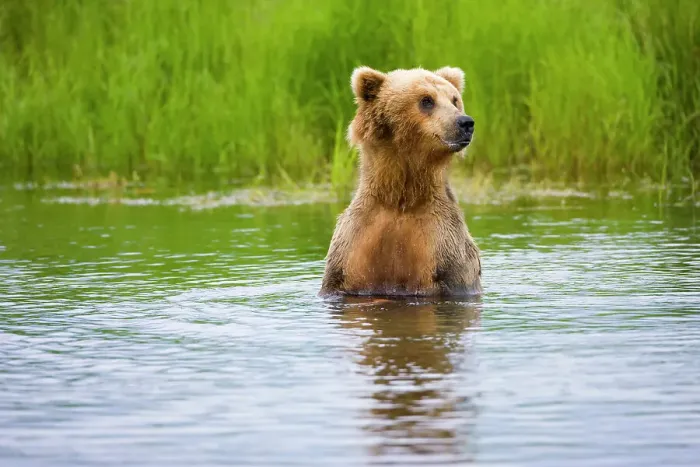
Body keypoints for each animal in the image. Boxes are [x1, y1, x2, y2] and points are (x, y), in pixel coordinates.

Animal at [319, 66, 481, 298]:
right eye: (426, 100)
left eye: (454, 100)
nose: (465, 122)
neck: (401, 195)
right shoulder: (354, 243)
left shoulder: (443, 246)